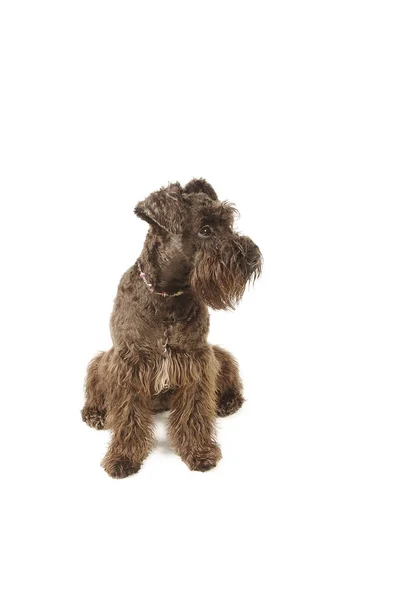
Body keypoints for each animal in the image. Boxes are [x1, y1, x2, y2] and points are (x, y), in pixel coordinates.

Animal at [81, 178, 262, 478]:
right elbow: (128, 414)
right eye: (205, 229)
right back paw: (95, 413)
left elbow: (194, 411)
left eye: (228, 224)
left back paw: (227, 402)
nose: (252, 257)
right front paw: (123, 457)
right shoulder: (128, 363)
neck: (167, 297)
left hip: (219, 356)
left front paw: (199, 451)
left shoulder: (196, 360)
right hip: (101, 362)